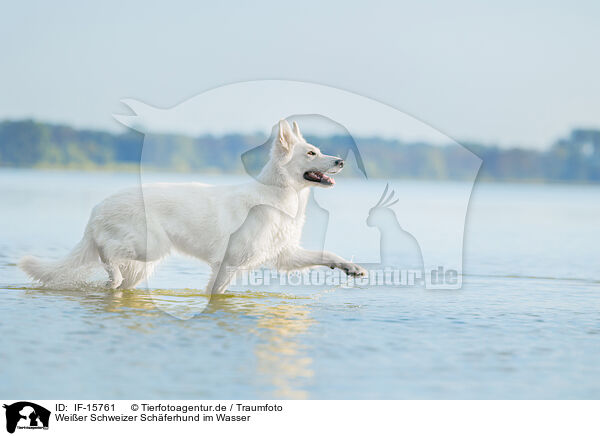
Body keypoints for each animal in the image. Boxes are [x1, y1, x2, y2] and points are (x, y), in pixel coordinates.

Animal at [18, 120, 366, 292]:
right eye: (311, 153)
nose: (341, 161)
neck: (277, 195)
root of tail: (97, 209)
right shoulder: (229, 264)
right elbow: (214, 294)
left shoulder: (285, 256)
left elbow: (327, 255)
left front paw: (351, 267)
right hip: (149, 246)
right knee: (106, 252)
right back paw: (110, 273)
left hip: (143, 263)